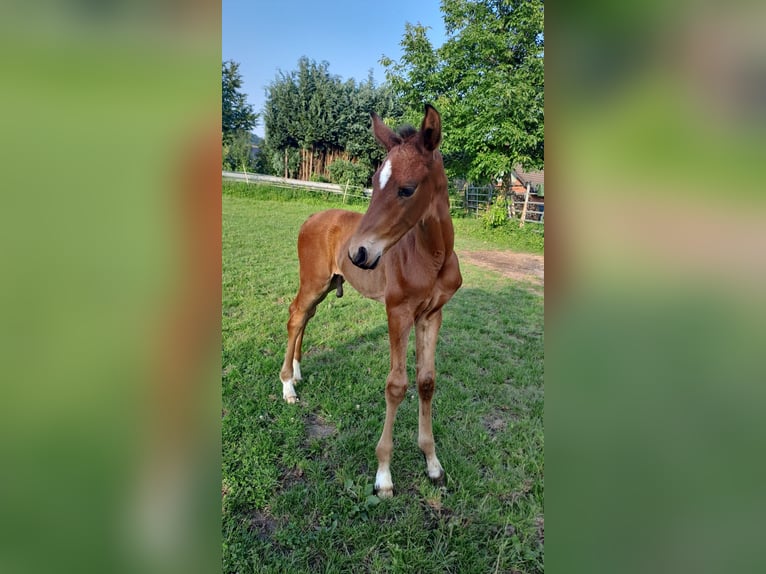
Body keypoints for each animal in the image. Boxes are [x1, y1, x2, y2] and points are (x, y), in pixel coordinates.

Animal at [280, 104, 462, 500]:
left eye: (407, 189)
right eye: (375, 180)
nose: (358, 253)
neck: (433, 256)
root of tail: (310, 217)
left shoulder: (433, 314)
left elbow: (426, 381)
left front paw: (432, 464)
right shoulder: (398, 311)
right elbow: (396, 386)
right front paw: (383, 476)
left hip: (328, 285)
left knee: (306, 317)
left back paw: (298, 372)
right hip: (313, 281)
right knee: (295, 315)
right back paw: (287, 386)